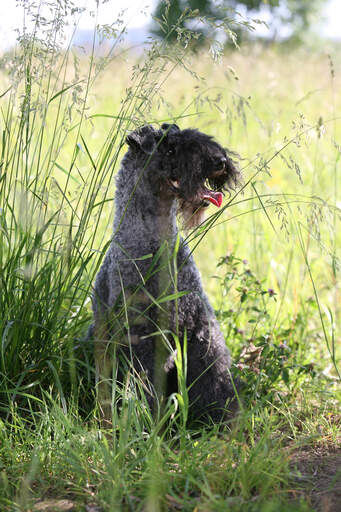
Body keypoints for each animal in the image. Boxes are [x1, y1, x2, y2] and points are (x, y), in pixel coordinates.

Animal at [89, 123, 240, 424]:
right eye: (169, 149)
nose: (220, 162)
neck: (155, 242)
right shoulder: (143, 337)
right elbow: (146, 384)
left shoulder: (199, 331)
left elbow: (213, 375)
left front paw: (223, 418)